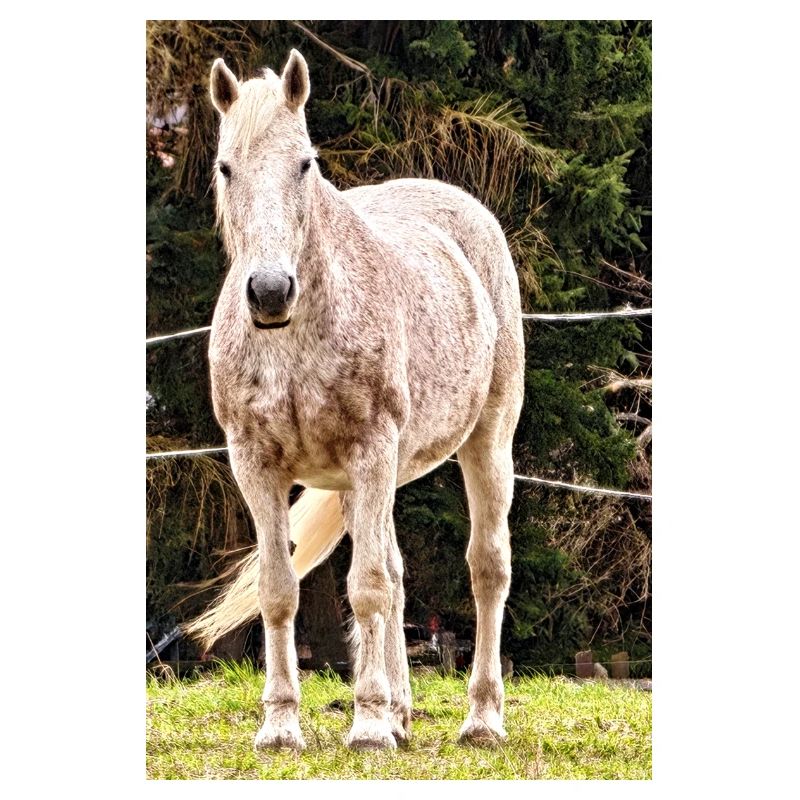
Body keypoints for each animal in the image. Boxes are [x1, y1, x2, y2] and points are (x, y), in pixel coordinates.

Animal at [186, 49, 525, 752]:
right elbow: (280, 589)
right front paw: (281, 725)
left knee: (486, 569)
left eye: (304, 163)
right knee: (395, 574)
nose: (269, 291)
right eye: (226, 167)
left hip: (486, 442)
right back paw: (401, 710)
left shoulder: (372, 451)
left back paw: (481, 718)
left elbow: (365, 587)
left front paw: (367, 725)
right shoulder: (255, 464)